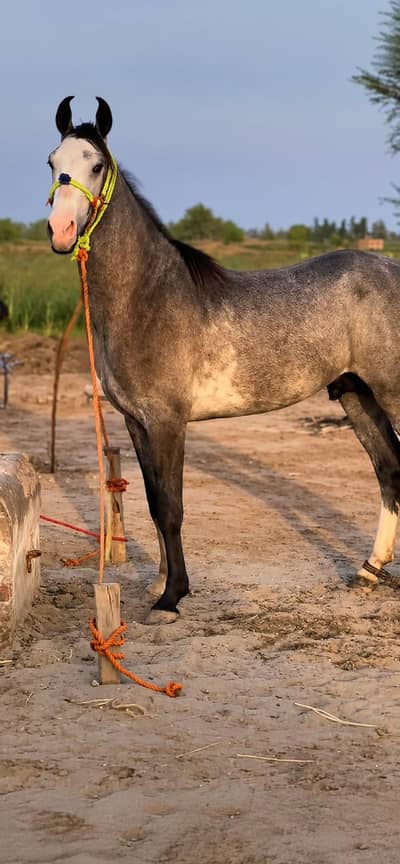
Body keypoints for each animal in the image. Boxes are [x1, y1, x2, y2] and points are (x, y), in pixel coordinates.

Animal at [47, 96, 400, 624]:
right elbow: (152, 502)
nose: (61, 231)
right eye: (52, 162)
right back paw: (368, 572)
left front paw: (171, 598)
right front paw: (158, 585)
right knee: (389, 470)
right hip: (357, 394)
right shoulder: (136, 422)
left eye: (96, 165)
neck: (147, 296)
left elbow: (171, 507)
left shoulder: (168, 422)